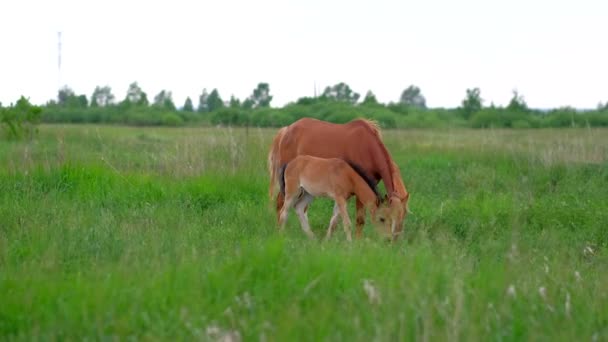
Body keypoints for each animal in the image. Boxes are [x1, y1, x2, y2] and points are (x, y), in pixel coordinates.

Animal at [266, 117, 408, 240]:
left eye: (403, 215)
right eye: (384, 218)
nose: (394, 240)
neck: (366, 147)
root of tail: (286, 131)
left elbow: (335, 219)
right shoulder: (358, 191)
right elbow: (360, 220)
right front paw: (358, 243)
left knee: (300, 209)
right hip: (289, 187)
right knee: (281, 204)